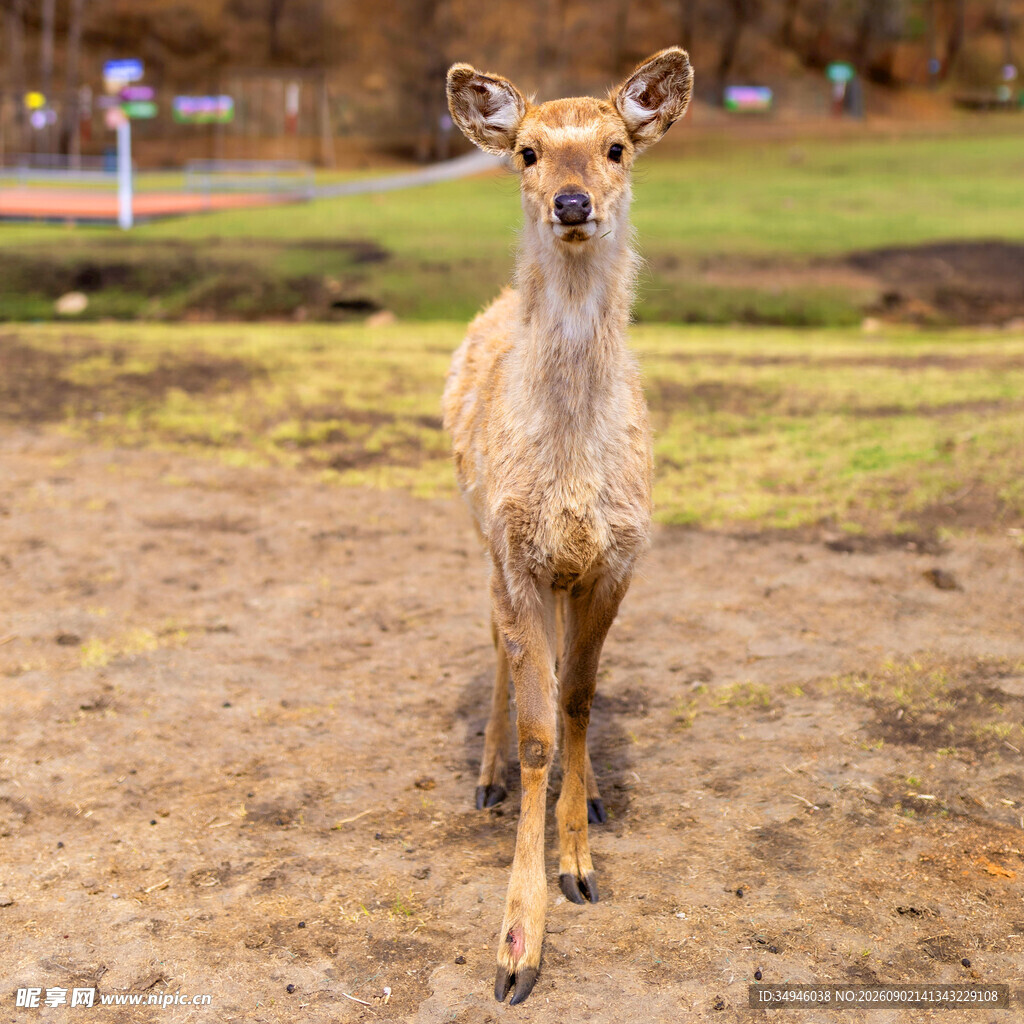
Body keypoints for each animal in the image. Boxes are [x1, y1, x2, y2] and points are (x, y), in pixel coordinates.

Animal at [442, 49, 693, 1005]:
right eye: (527, 151)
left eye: (617, 146)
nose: (574, 202)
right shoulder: (516, 551)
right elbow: (539, 732)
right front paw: (517, 948)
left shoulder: (617, 556)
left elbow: (580, 700)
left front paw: (582, 859)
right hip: (483, 536)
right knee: (495, 645)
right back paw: (485, 780)